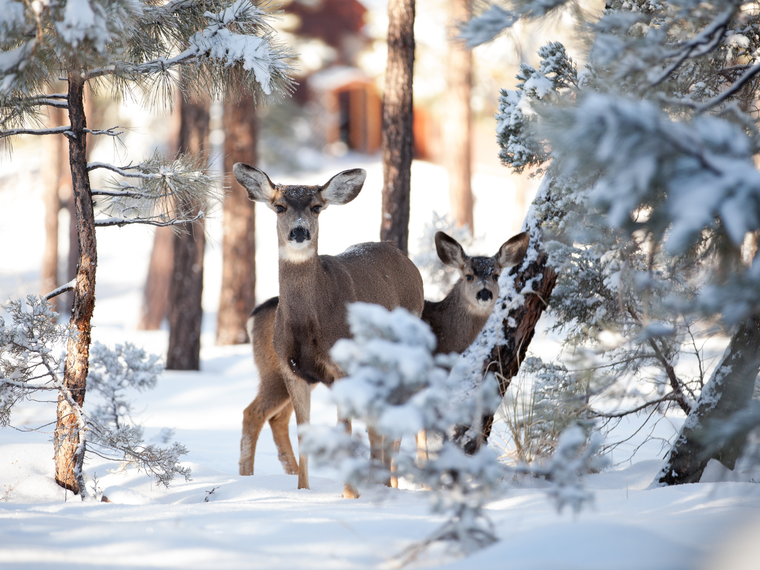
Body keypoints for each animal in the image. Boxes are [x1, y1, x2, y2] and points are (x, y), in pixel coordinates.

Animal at [233, 164, 424, 498]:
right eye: (279, 206)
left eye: (316, 207)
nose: (299, 232)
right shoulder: (292, 369)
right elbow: (305, 431)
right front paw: (303, 490)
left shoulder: (342, 369)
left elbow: (345, 429)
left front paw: (350, 495)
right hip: (276, 373)